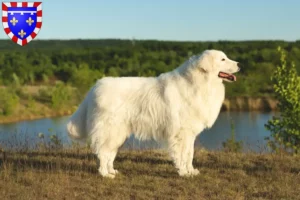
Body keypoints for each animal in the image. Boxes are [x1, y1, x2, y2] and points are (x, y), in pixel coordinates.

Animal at [67, 49, 240, 178]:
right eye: (223, 59)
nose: (239, 64)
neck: (199, 81)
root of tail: (95, 87)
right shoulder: (181, 134)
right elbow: (182, 155)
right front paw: (183, 173)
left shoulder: (190, 134)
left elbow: (189, 154)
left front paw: (191, 171)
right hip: (110, 131)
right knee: (103, 152)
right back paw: (105, 174)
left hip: (118, 133)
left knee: (109, 153)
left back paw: (112, 171)